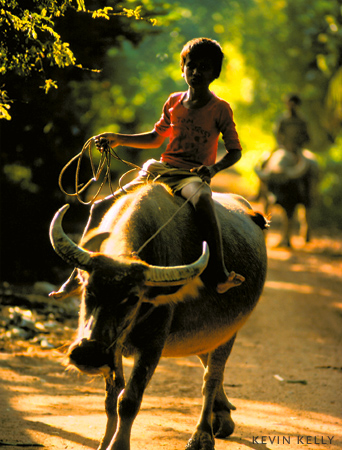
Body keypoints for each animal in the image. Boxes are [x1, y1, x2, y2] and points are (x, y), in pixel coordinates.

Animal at [49, 183, 268, 450]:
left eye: (133, 298)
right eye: (88, 289)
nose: (89, 354)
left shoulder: (152, 345)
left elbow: (129, 400)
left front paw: (118, 445)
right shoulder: (113, 346)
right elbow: (111, 398)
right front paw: (104, 443)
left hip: (228, 330)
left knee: (211, 377)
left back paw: (203, 434)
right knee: (207, 362)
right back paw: (223, 415)